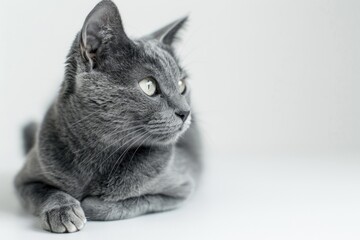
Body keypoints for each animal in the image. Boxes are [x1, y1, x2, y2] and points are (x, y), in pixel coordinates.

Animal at [14, 0, 201, 232]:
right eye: (148, 85)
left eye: (182, 85)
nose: (185, 112)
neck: (95, 154)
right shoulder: (23, 179)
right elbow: (45, 190)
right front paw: (63, 210)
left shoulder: (180, 188)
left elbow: (126, 202)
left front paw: (85, 203)